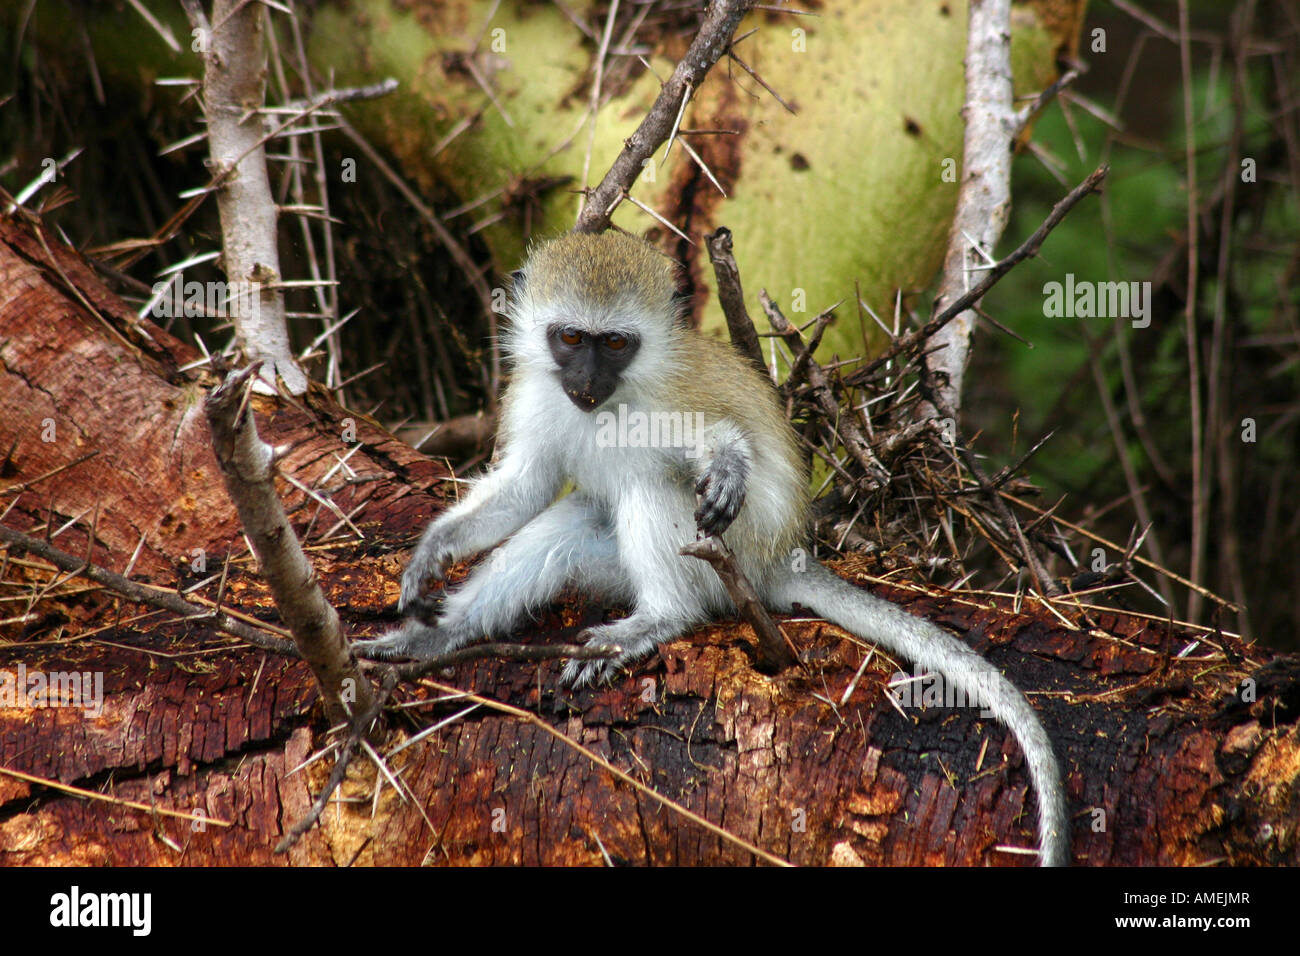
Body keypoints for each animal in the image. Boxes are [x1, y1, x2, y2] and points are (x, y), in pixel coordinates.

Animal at [356, 231, 1066, 868]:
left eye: (615, 343)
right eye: (571, 338)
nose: (585, 379)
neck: (608, 401)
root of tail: (783, 559)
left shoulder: (671, 404)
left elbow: (714, 447)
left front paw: (727, 461)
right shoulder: (536, 393)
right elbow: (524, 488)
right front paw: (432, 554)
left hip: (737, 556)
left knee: (654, 486)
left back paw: (656, 619)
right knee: (566, 527)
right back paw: (441, 637)